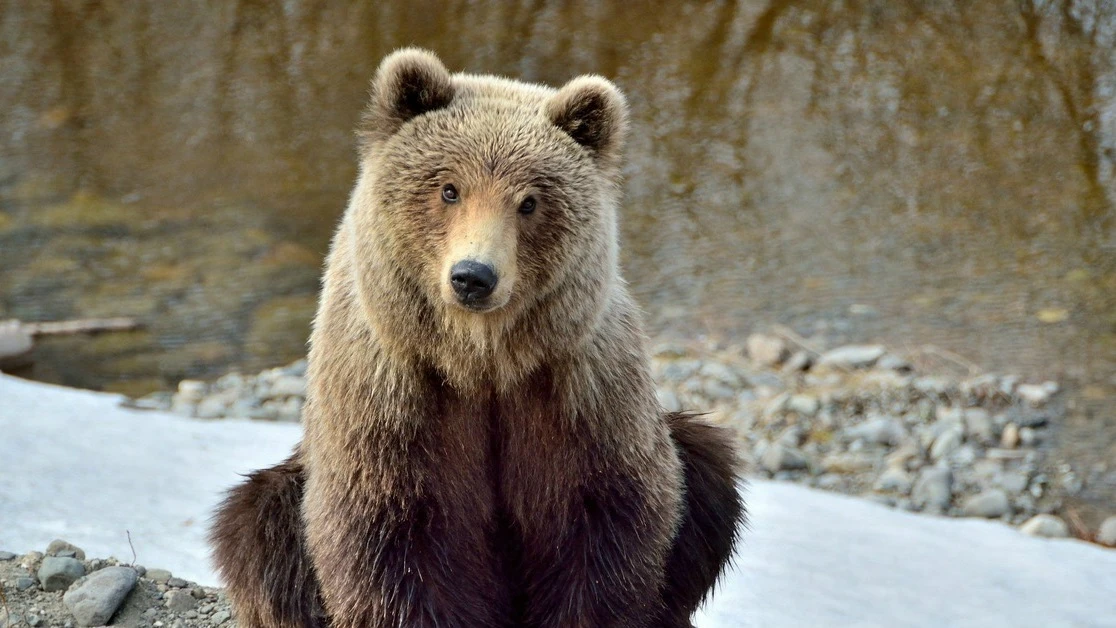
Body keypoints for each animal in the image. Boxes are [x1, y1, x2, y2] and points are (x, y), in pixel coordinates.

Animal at [210, 48, 744, 628]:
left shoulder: (578, 395)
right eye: (449, 188)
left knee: (709, 473)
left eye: (529, 201)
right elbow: (394, 542)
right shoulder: (395, 401)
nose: (473, 276)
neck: (481, 359)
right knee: (257, 526)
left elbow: (603, 527)